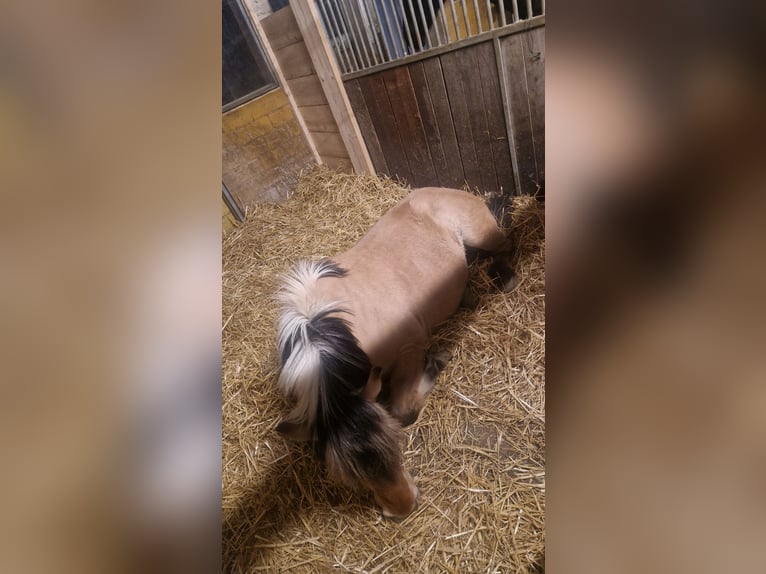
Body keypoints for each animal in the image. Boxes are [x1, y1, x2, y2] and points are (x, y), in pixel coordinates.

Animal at [275, 187, 515, 519]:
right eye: (346, 474)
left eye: (395, 444)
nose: (402, 508)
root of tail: (458, 192)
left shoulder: (409, 348)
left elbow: (403, 410)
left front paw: (434, 365)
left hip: (482, 234)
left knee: (505, 244)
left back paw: (504, 277)